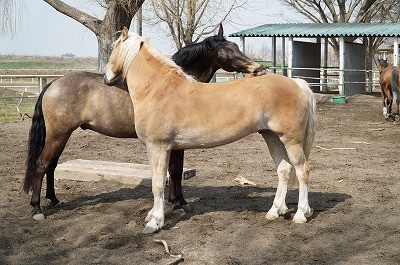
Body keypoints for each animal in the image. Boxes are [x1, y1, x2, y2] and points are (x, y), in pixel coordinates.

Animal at [23, 24, 264, 220]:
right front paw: (178, 203)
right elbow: (174, 170)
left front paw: (178, 201)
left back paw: (54, 200)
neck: (173, 85)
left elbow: (176, 171)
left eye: (236, 46)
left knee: (51, 166)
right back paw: (36, 209)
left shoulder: (177, 143)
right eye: (228, 53)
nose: (258, 69)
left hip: (62, 135)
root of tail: (53, 83)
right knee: (42, 165)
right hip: (58, 134)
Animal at [104, 27, 318, 233]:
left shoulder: (158, 147)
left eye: (112, 48)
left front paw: (155, 222)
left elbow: (158, 184)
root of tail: (297, 83)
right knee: (284, 170)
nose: (106, 77)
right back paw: (275, 211)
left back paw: (301, 214)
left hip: (291, 139)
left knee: (302, 170)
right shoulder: (164, 149)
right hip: (272, 137)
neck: (159, 90)